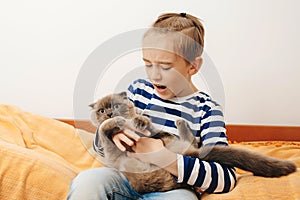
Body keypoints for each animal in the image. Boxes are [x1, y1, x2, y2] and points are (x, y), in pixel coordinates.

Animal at [88, 92, 296, 194]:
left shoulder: (151, 134)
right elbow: (106, 129)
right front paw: (119, 122)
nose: (109, 113)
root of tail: (186, 154)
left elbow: (145, 125)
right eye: (101, 110)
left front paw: (137, 121)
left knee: (189, 141)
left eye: (115, 106)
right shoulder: (116, 147)